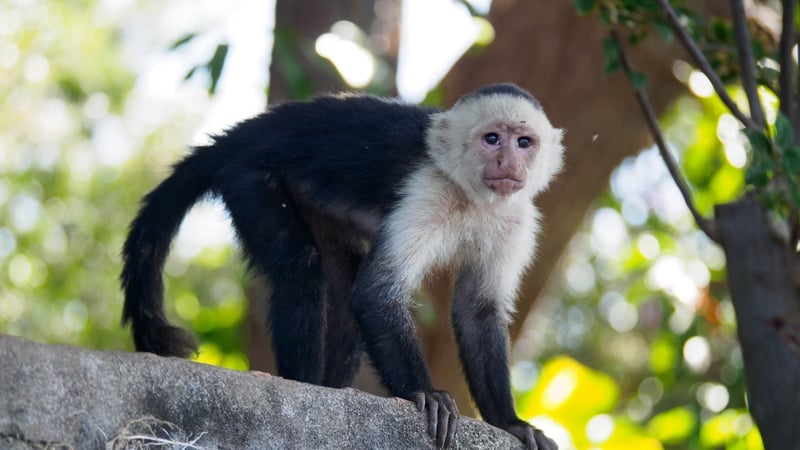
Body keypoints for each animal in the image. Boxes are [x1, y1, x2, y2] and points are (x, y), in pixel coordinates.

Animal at [121, 83, 563, 450]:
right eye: (492, 139)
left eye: (524, 142)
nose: (509, 161)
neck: (472, 196)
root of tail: (239, 136)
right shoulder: (425, 190)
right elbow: (377, 293)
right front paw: (426, 393)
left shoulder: (517, 219)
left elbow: (477, 311)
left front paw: (509, 423)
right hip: (247, 176)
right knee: (300, 268)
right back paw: (302, 387)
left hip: (310, 200)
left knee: (345, 297)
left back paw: (330, 389)